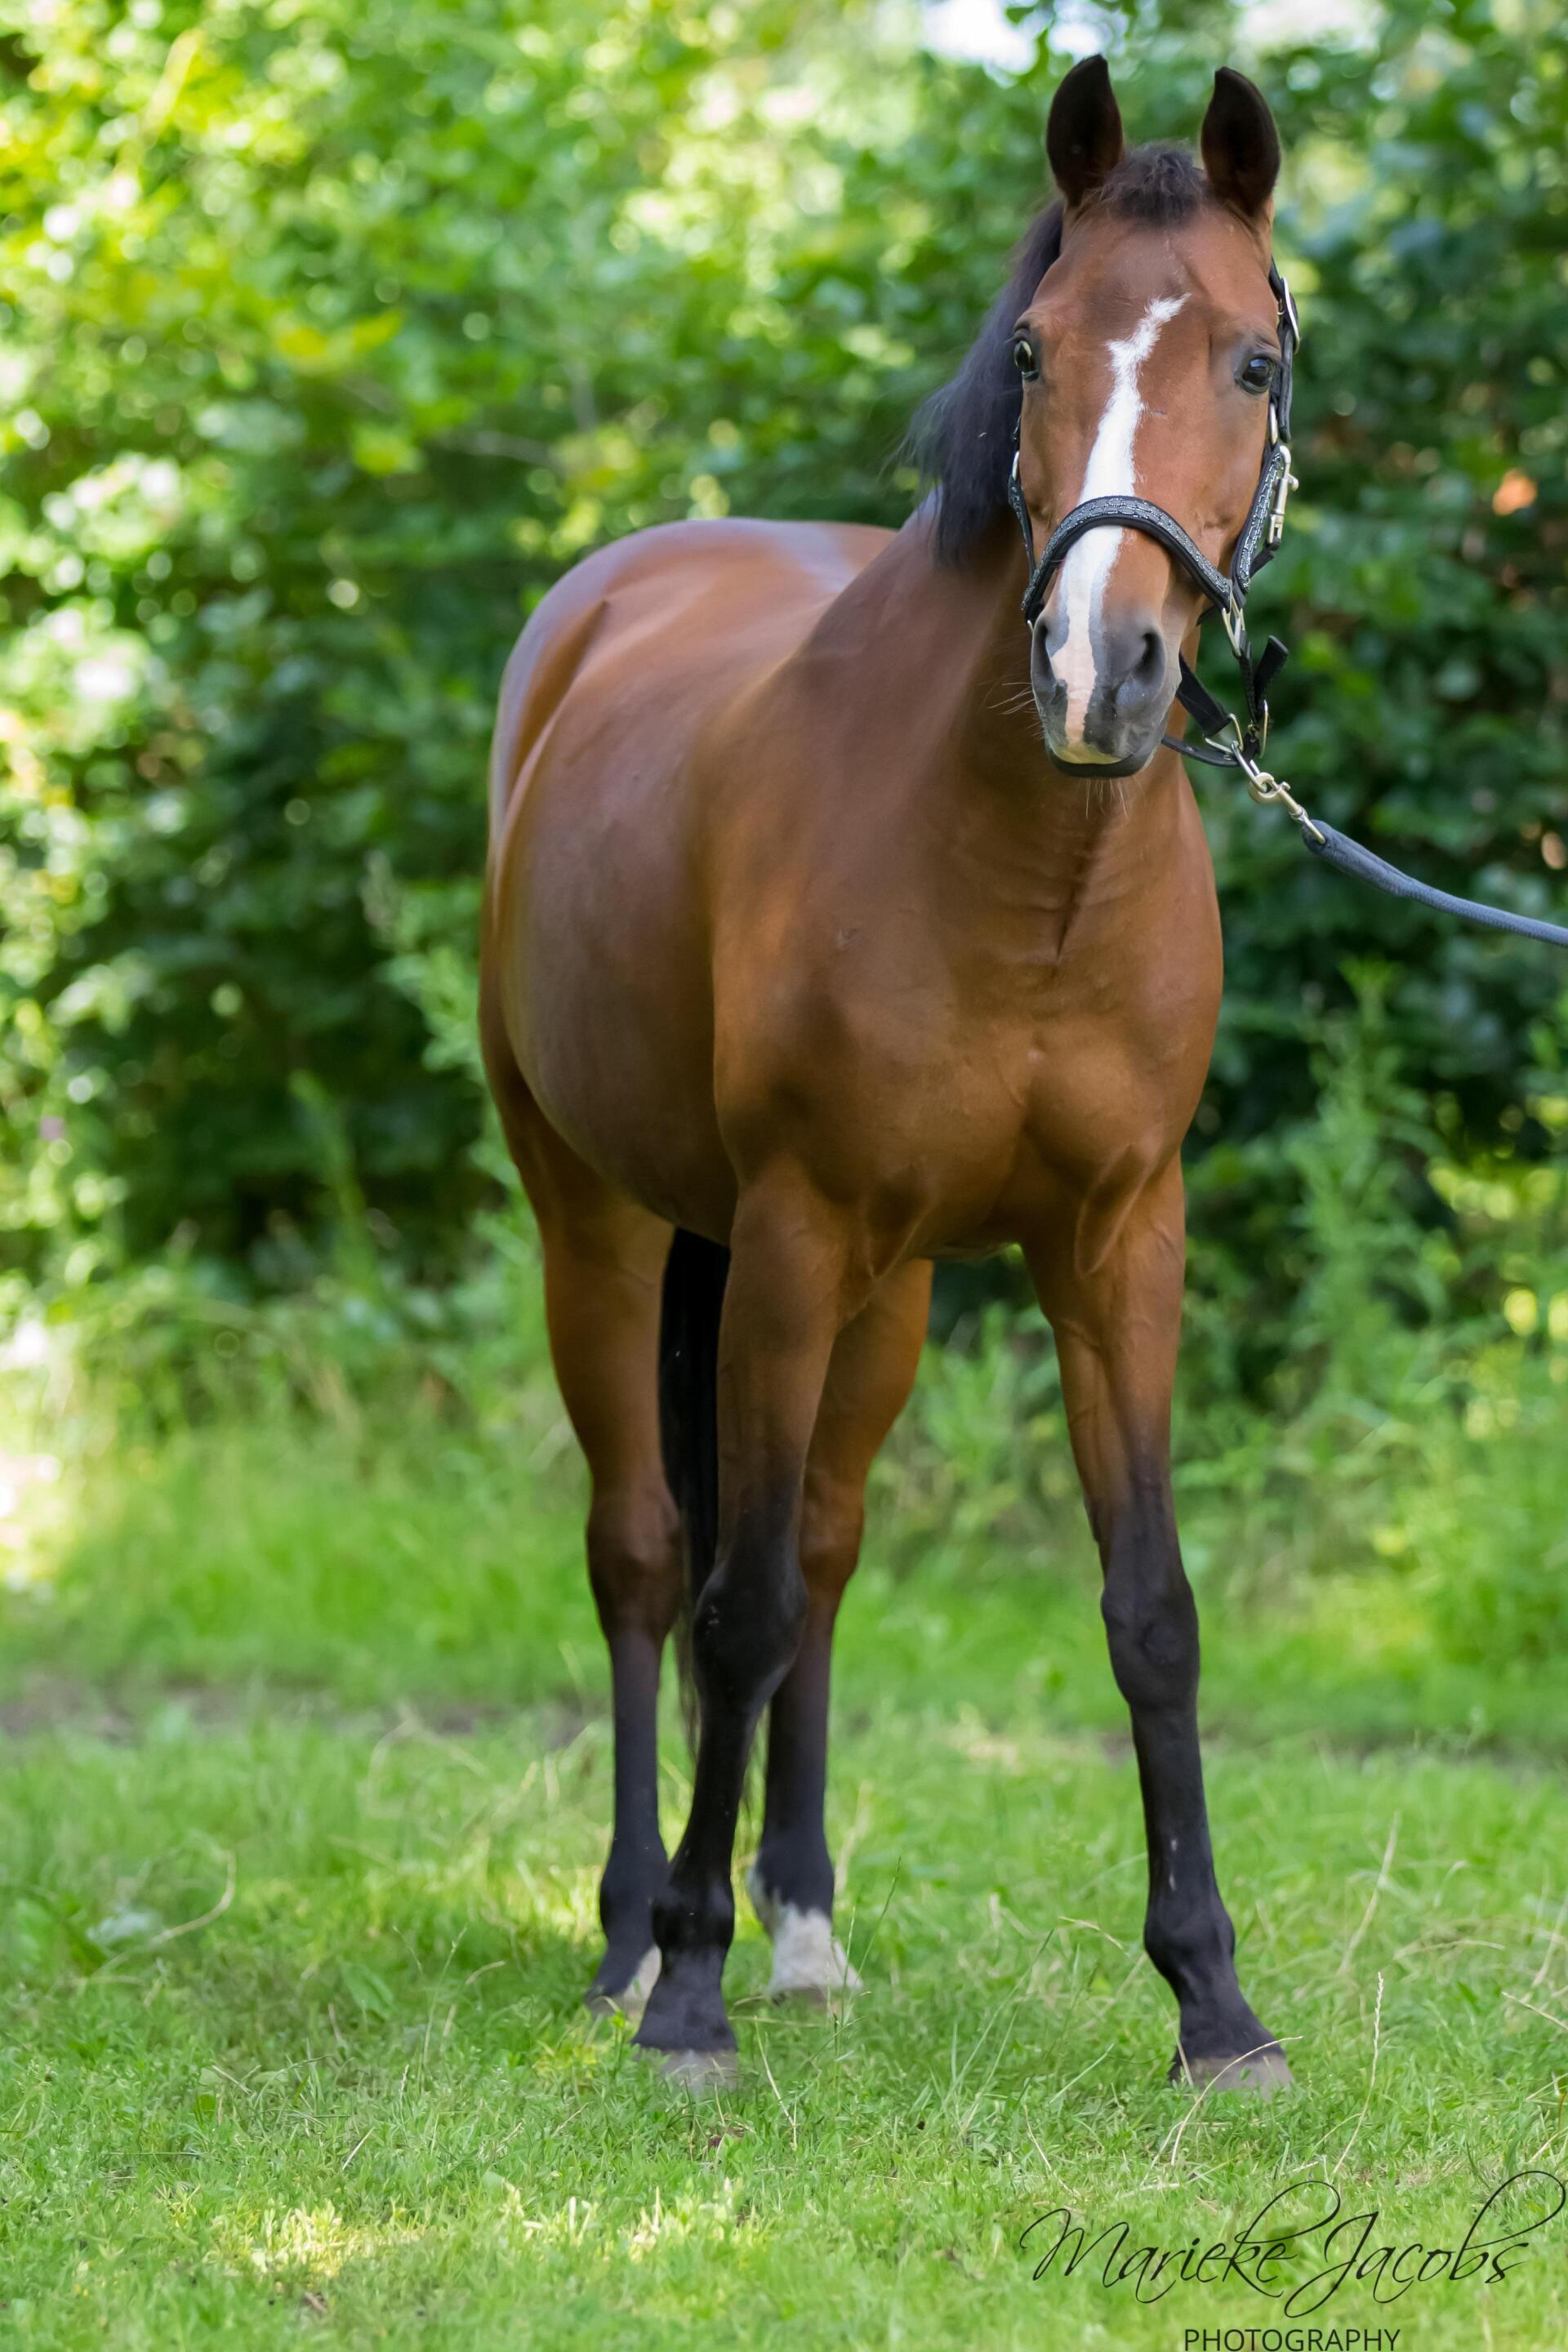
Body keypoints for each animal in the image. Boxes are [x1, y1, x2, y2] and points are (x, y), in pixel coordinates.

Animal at [481, 55, 1294, 2093]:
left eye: (1251, 360)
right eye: (1037, 348)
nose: (1104, 670)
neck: (1024, 867)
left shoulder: (1116, 1244)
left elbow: (1148, 1609)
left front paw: (1215, 2000)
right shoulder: (786, 1235)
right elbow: (736, 1598)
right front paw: (685, 1998)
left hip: (894, 1292)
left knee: (831, 1550)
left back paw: (805, 1923)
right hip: (605, 1225)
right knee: (650, 1558)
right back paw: (636, 1933)